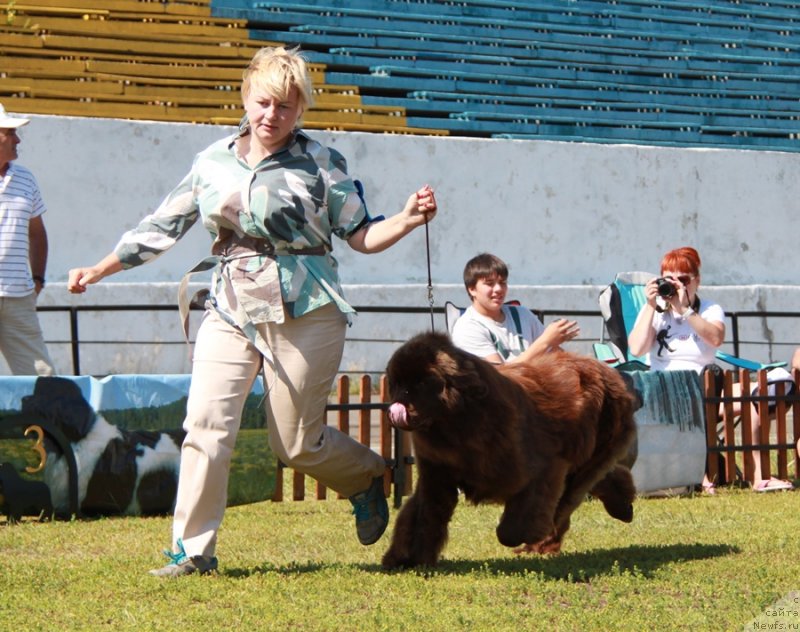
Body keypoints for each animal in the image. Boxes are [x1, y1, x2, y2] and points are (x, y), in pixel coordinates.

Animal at [382, 330, 636, 568]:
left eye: (422, 383)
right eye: (397, 383)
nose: (398, 403)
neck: (457, 420)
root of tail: (605, 369)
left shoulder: (542, 469)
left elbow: (514, 527)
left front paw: (520, 536)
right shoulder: (436, 475)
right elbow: (424, 517)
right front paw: (407, 559)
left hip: (590, 453)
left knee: (569, 498)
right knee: (601, 480)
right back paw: (622, 506)